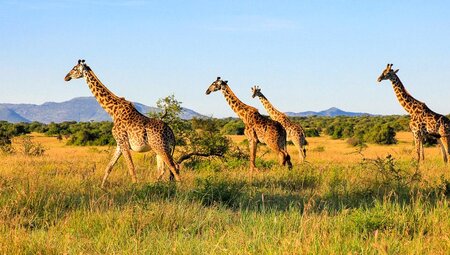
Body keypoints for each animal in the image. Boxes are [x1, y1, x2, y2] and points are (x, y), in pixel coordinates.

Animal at [65, 59, 181, 187]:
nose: (66, 77)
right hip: (161, 148)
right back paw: (155, 186)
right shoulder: (119, 144)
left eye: (74, 68)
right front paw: (101, 187)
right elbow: (109, 167)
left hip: (160, 147)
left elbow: (131, 168)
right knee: (163, 169)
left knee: (174, 167)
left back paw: (180, 188)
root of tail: (171, 133)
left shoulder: (124, 143)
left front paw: (135, 187)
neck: (113, 112)